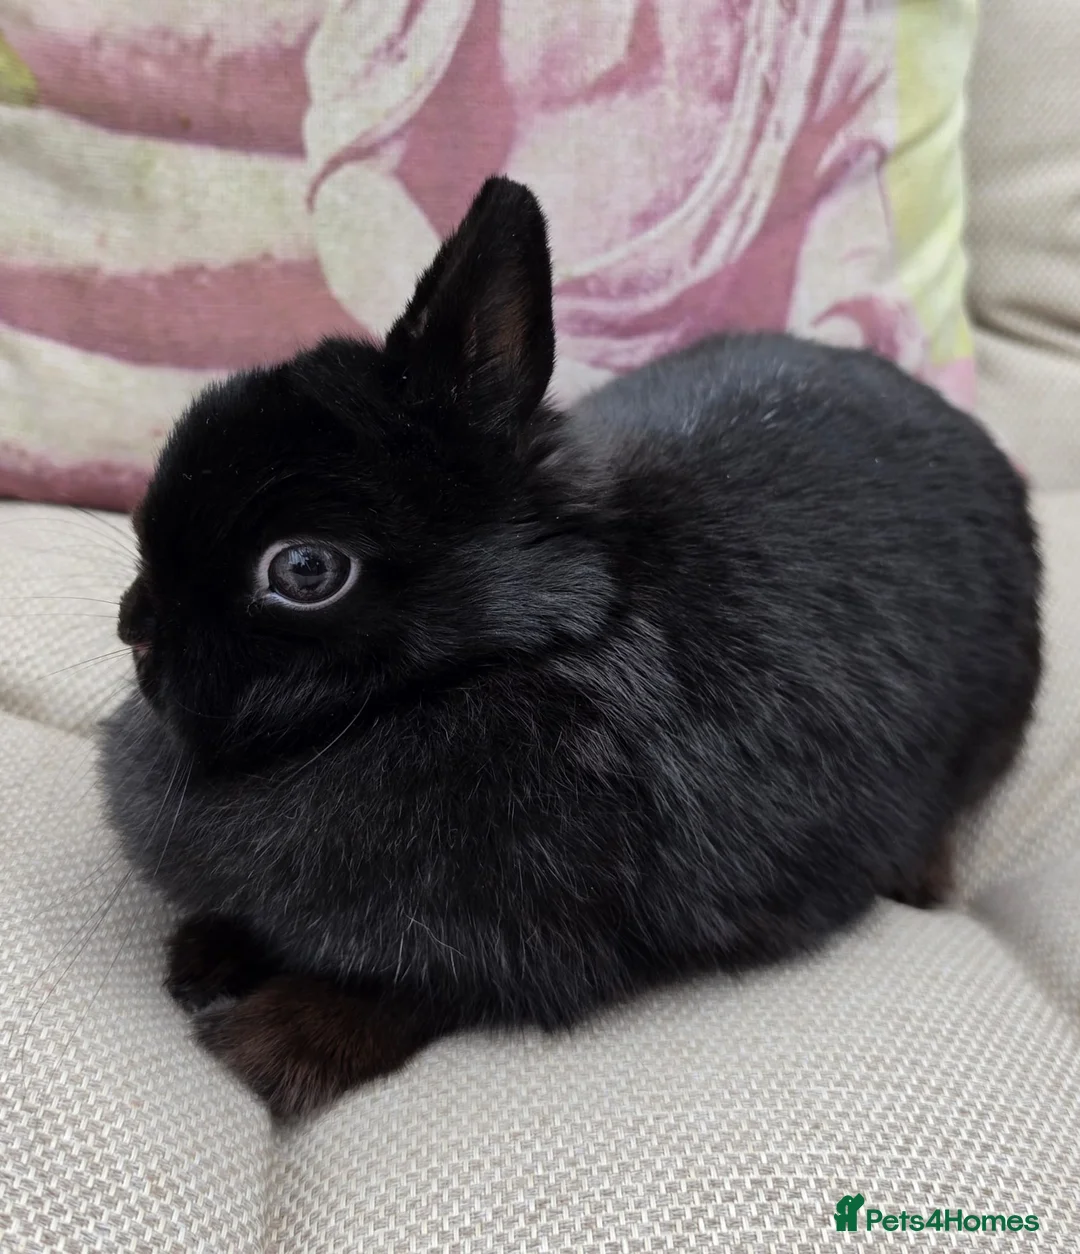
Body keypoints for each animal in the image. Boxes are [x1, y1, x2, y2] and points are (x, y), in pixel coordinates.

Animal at [100, 176, 1041, 1118]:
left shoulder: (529, 948)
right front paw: (205, 955)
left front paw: (265, 1043)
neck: (520, 650)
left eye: (303, 568)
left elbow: (405, 994)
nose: (134, 631)